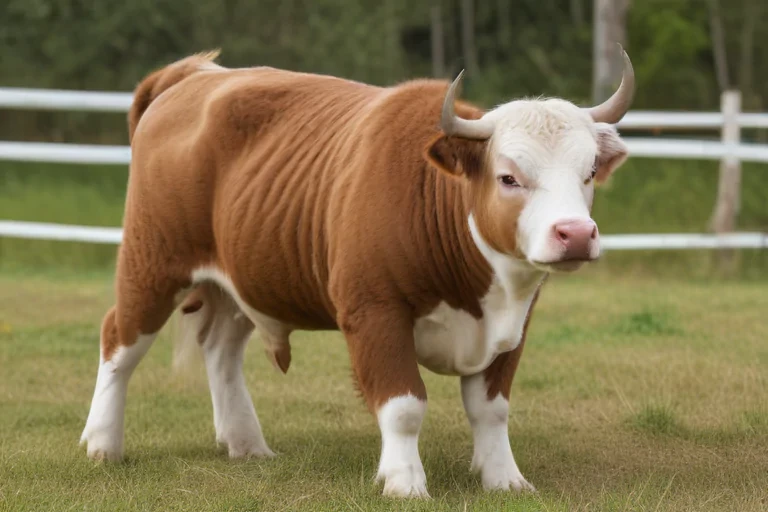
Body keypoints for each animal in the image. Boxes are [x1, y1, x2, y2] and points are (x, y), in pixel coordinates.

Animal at [80, 47, 634, 497]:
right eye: (509, 177)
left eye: (588, 172)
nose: (575, 234)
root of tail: (193, 75)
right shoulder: (374, 314)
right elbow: (404, 405)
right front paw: (404, 481)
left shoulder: (514, 324)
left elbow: (491, 408)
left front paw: (505, 479)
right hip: (151, 265)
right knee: (118, 341)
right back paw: (102, 443)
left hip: (241, 279)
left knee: (220, 350)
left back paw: (245, 442)